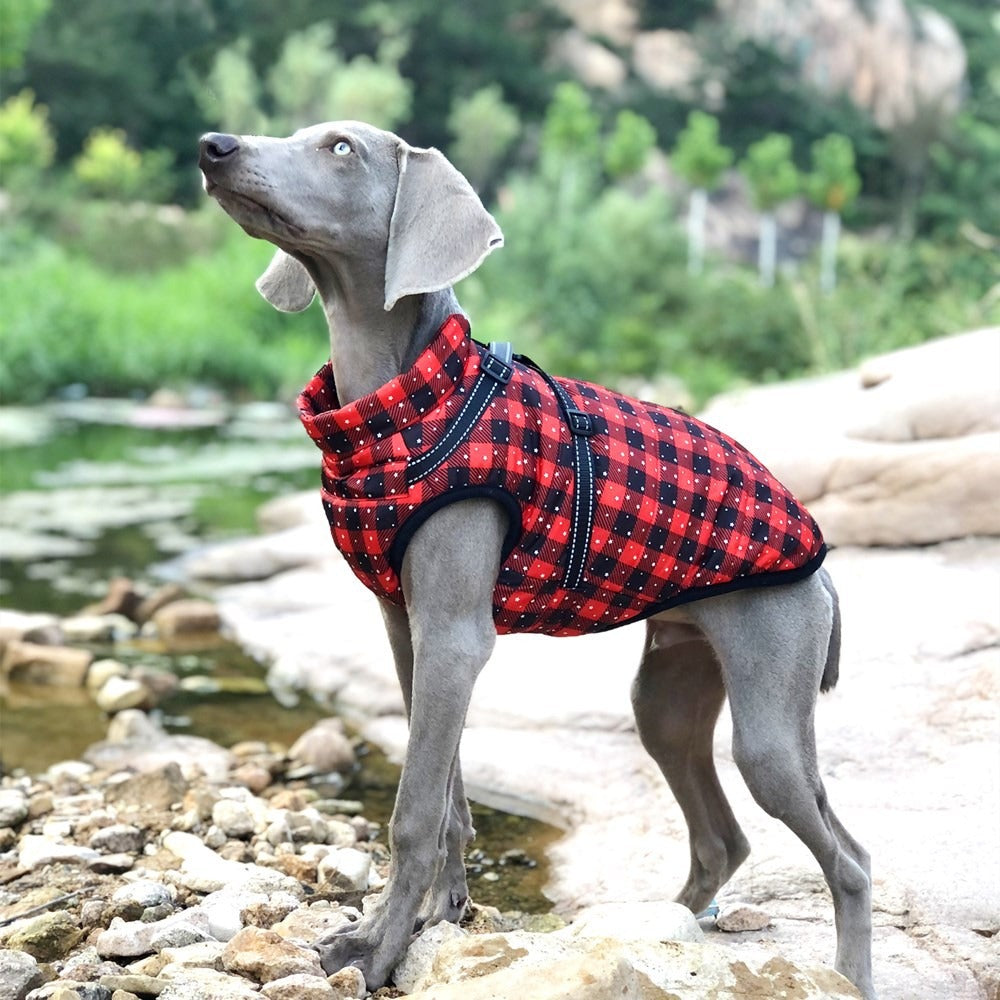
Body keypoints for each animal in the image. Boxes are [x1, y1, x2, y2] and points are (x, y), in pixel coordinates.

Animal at [199, 123, 872, 1000]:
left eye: (341, 147)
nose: (212, 144)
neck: (405, 404)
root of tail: (820, 560)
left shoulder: (455, 637)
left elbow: (413, 809)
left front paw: (374, 950)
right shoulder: (411, 634)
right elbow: (446, 797)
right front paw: (438, 916)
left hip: (770, 716)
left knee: (849, 859)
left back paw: (849, 971)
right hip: (668, 693)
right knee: (722, 839)